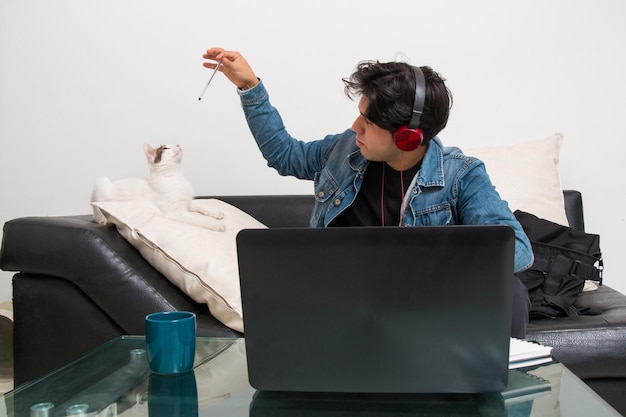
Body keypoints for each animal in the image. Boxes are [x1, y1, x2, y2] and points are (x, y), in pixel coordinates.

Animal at [88, 144, 224, 231]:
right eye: (165, 148)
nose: (178, 144)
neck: (176, 176)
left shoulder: (187, 202)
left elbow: (201, 206)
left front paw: (216, 213)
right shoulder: (176, 213)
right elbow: (198, 219)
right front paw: (216, 225)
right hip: (101, 182)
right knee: (96, 212)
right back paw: (103, 220)